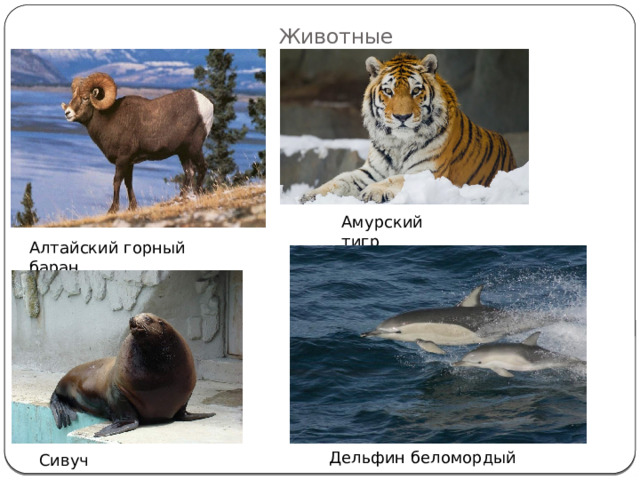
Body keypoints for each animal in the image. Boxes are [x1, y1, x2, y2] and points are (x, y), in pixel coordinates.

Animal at [299, 53, 516, 203]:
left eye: (416, 90)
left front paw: (372, 191)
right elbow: (340, 179)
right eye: (388, 91)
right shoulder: (371, 171)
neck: (398, 143)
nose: (402, 117)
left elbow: (396, 178)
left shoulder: (429, 172)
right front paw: (311, 195)